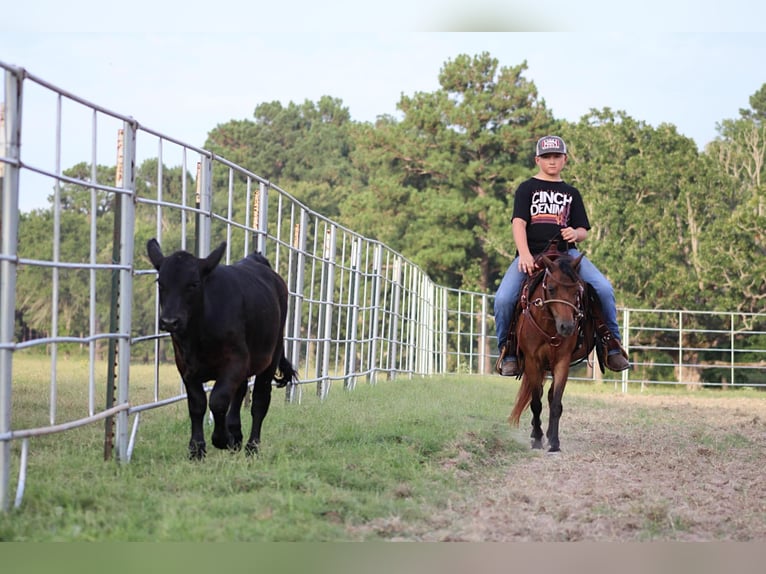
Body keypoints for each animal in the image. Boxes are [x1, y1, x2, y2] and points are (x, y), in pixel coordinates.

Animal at [147, 241, 296, 462]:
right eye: (161, 283)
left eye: (193, 284)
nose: (169, 321)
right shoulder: (185, 365)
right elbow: (197, 404)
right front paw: (197, 449)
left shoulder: (235, 360)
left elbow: (218, 400)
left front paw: (221, 439)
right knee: (240, 392)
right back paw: (236, 434)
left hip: (272, 353)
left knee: (259, 401)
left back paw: (252, 446)